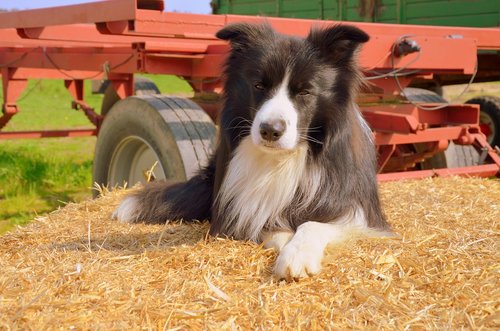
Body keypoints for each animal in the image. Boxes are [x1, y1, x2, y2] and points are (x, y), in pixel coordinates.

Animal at [113, 22, 390, 280]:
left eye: (305, 91)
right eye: (258, 85)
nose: (270, 131)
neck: (281, 160)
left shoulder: (359, 213)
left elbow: (315, 223)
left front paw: (297, 255)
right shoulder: (241, 206)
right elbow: (269, 226)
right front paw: (286, 244)